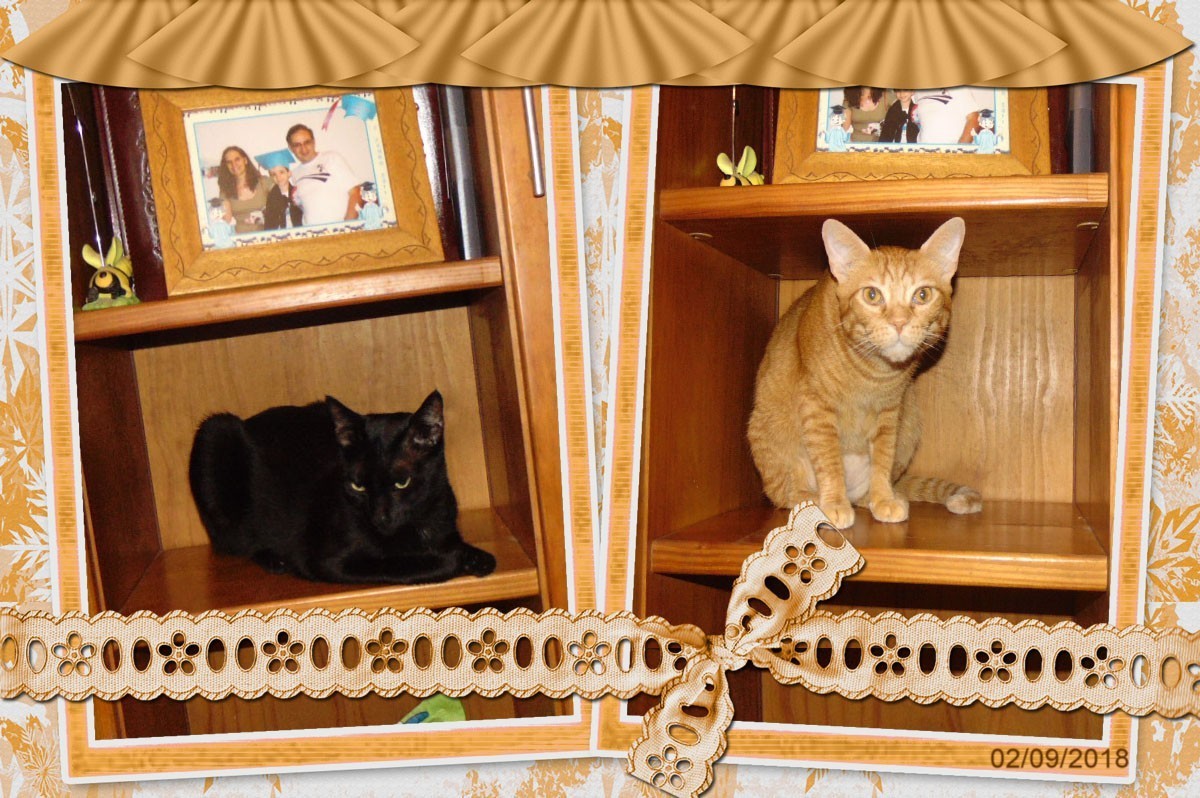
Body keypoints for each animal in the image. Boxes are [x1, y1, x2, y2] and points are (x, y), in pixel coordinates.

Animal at [188, 390, 497, 583]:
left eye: (402, 482)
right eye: (358, 486)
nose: (379, 517)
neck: (418, 525)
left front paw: (476, 556)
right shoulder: (329, 561)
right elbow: (402, 565)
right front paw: (457, 559)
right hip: (215, 432)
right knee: (236, 542)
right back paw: (275, 559)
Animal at [747, 217, 983, 530]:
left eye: (922, 295)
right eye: (872, 295)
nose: (899, 322)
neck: (873, 373)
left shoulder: (890, 412)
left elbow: (882, 460)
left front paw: (882, 498)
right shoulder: (817, 406)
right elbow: (829, 459)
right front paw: (834, 503)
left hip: (909, 424)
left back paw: (874, 497)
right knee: (781, 493)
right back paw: (809, 499)